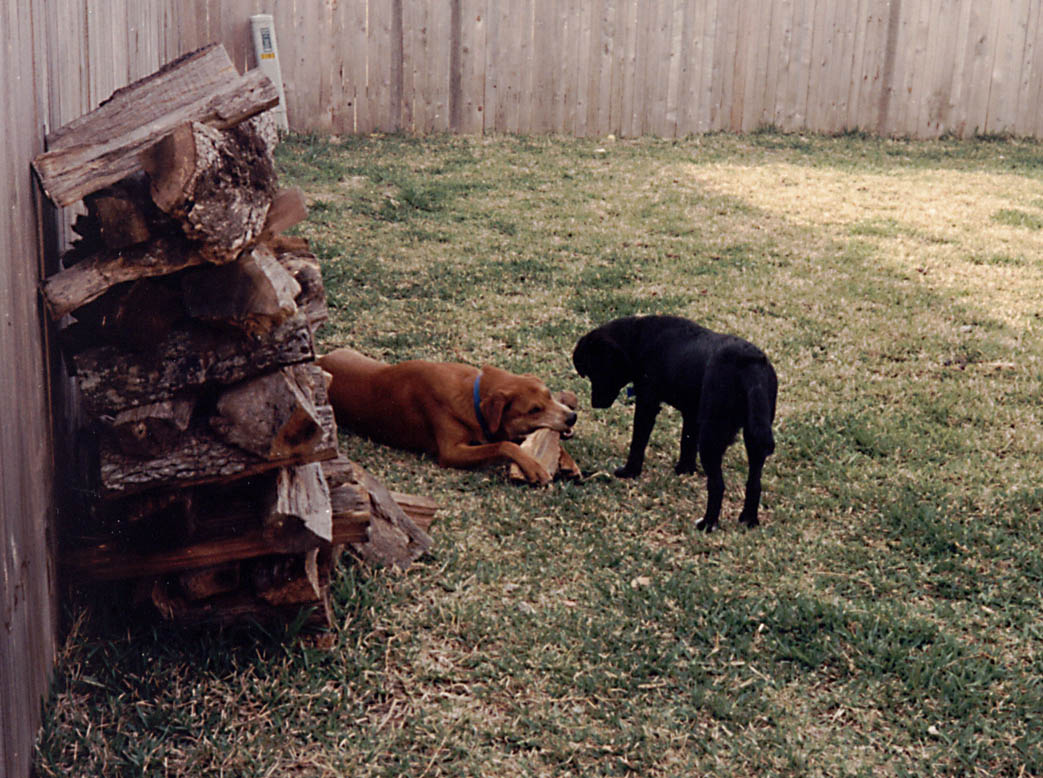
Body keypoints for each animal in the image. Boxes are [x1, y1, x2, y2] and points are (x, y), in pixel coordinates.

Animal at [317, 346, 579, 481]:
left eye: (549, 395)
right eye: (534, 410)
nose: (572, 417)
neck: (474, 395)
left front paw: (566, 460)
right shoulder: (451, 453)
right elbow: (504, 445)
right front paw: (533, 466)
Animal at [575, 312, 780, 527]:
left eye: (597, 371)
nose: (594, 403)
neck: (638, 338)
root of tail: (751, 364)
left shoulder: (647, 404)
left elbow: (638, 442)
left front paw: (630, 472)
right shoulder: (691, 414)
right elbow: (686, 443)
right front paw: (684, 470)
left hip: (711, 437)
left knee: (717, 485)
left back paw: (708, 523)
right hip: (754, 440)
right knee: (754, 483)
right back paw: (748, 519)